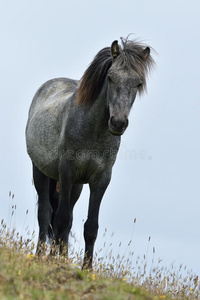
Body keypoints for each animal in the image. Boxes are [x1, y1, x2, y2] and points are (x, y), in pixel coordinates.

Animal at [25, 36, 155, 268]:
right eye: (110, 78)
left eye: (138, 83)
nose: (118, 123)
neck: (93, 132)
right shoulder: (67, 172)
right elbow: (60, 219)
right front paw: (52, 261)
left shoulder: (100, 179)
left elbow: (90, 227)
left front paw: (86, 268)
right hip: (40, 172)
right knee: (46, 214)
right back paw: (40, 255)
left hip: (76, 187)